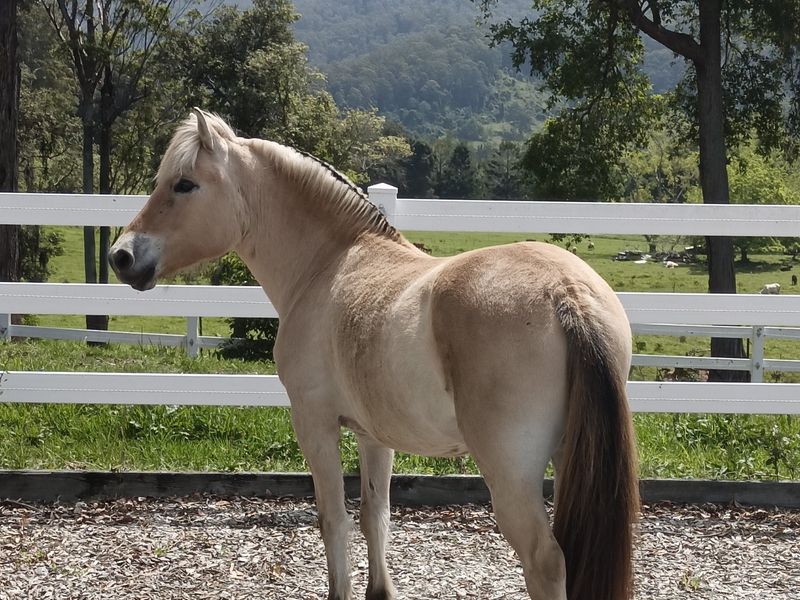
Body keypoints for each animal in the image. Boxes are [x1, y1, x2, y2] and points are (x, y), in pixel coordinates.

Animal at [109, 109, 639, 600]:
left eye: (184, 184)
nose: (121, 256)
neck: (331, 262)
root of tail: (566, 292)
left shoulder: (314, 423)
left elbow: (333, 519)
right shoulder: (375, 436)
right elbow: (374, 516)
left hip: (512, 477)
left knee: (545, 560)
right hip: (570, 458)